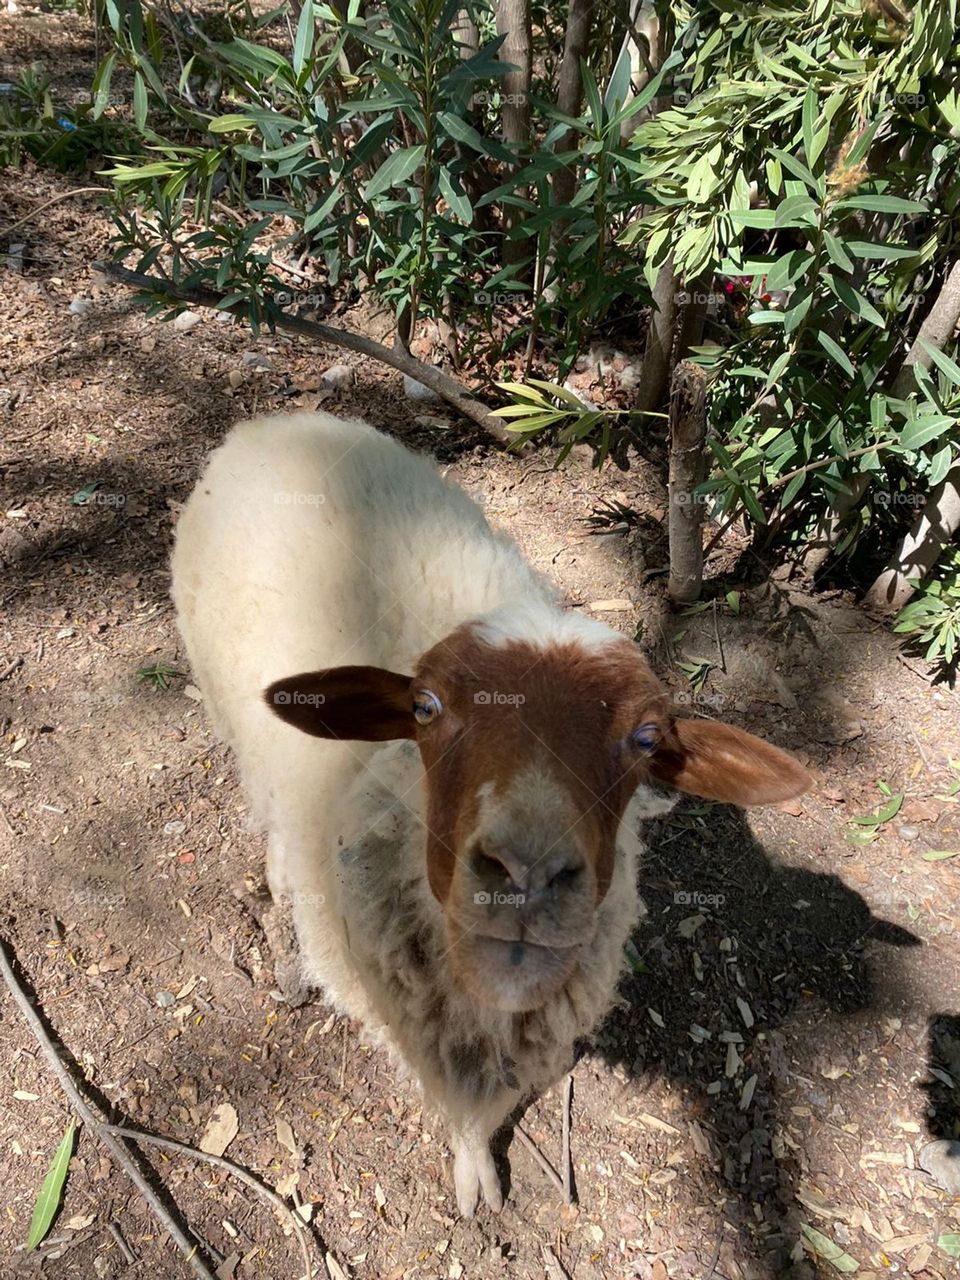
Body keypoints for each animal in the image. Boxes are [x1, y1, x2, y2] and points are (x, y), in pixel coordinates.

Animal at [172, 412, 814, 1218]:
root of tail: (275, 422)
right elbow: (457, 1108)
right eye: (423, 707)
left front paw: (480, 1164)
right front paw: (472, 1173)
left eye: (646, 740)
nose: (526, 876)